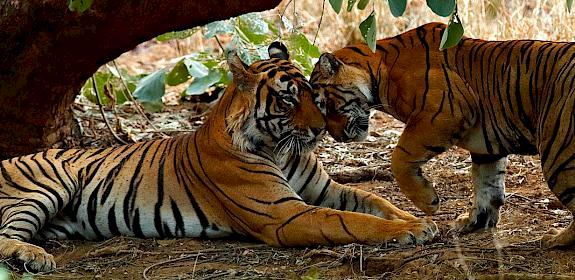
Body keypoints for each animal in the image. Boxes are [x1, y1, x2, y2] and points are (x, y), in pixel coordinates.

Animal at [0, 42, 436, 272]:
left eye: (314, 94)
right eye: (288, 99)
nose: (318, 131)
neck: (280, 149)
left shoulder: (326, 189)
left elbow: (375, 200)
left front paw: (419, 217)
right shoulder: (285, 214)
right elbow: (352, 221)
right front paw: (410, 230)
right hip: (45, 186)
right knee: (5, 235)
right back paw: (32, 257)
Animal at [310, 21, 575, 248]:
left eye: (327, 105)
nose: (338, 137)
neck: (379, 68)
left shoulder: (444, 112)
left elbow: (399, 158)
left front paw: (429, 202)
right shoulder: (487, 146)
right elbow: (487, 185)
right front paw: (474, 222)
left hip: (558, 154)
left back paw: (555, 239)